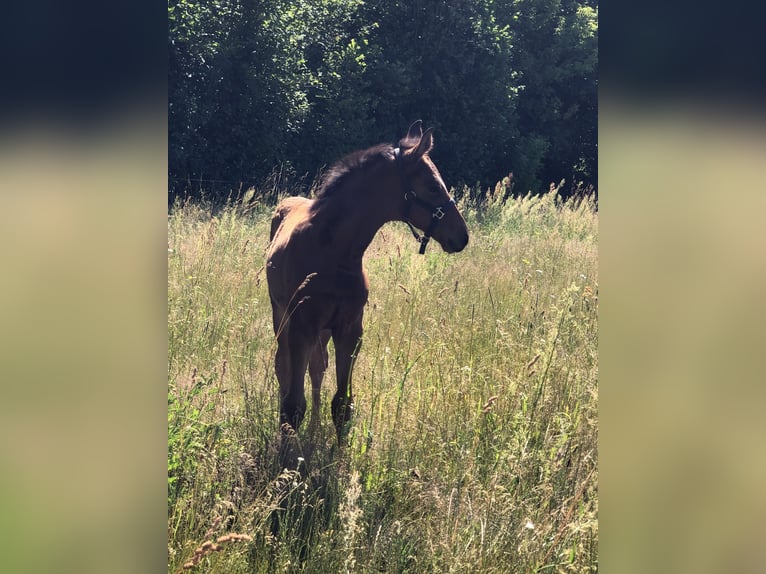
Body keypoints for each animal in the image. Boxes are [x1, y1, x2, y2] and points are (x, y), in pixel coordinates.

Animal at [265, 120, 469, 443]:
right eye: (434, 186)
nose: (462, 236)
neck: (332, 250)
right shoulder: (301, 326)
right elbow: (294, 405)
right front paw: (287, 450)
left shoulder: (350, 329)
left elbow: (342, 404)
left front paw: (336, 451)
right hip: (280, 314)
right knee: (282, 365)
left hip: (323, 330)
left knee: (317, 367)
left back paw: (314, 428)